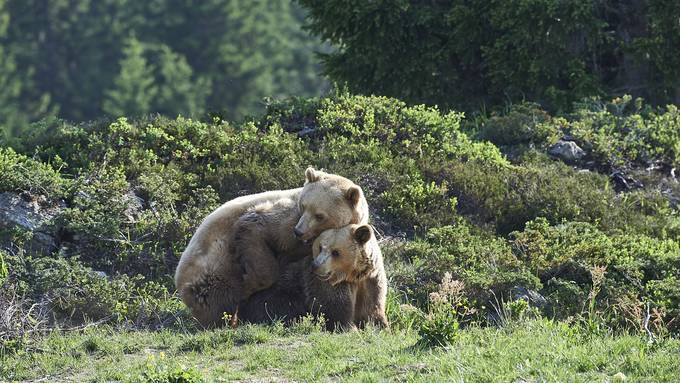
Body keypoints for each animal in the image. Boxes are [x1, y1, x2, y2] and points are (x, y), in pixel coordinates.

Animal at [173, 167, 370, 328]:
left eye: (320, 215)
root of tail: (179, 280)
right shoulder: (283, 219)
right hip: (213, 271)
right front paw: (250, 284)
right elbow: (256, 229)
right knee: (217, 302)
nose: (299, 231)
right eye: (304, 205)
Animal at [239, 224, 388, 332]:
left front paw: (380, 327)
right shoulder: (326, 284)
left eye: (336, 252)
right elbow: (336, 309)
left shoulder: (372, 281)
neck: (353, 276)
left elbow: (372, 310)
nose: (316, 265)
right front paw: (350, 329)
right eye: (320, 247)